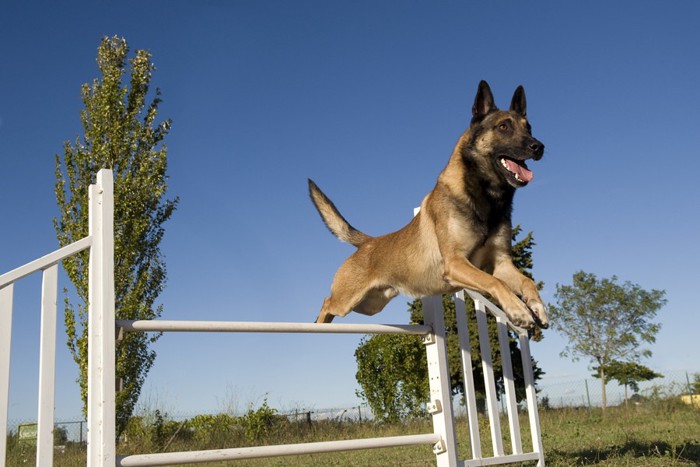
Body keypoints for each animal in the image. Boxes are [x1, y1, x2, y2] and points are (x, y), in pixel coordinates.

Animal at [308, 80, 548, 330]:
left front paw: (537, 308)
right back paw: (318, 326)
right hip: (347, 300)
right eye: (503, 127)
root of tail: (369, 242)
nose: (539, 147)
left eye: (529, 128)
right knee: (327, 302)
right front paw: (519, 310)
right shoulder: (456, 263)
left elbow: (527, 282)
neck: (486, 197)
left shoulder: (501, 264)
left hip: (370, 305)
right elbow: (495, 283)